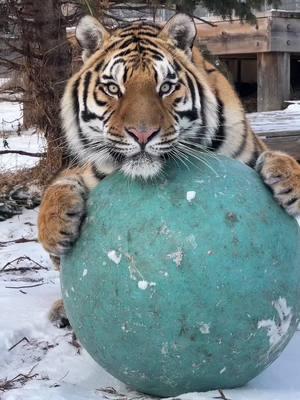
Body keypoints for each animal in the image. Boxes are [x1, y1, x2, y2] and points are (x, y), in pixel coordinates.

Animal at [38, 14, 300, 326]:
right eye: (113, 88)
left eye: (166, 87)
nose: (142, 134)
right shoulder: (93, 170)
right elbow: (60, 184)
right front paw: (53, 227)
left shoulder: (252, 150)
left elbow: (280, 157)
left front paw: (289, 182)